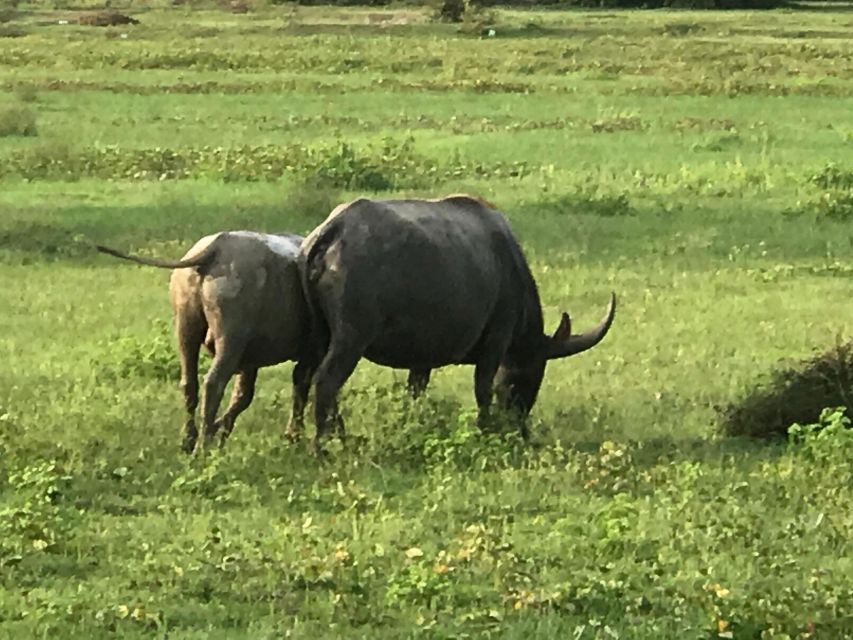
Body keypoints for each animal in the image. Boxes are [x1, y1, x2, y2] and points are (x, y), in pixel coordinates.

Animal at [302, 195, 616, 456]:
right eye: (529, 376)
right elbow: (483, 388)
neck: (508, 266)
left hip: (323, 336)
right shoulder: (497, 340)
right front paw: (484, 429)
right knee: (327, 381)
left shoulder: (422, 358)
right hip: (351, 338)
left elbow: (415, 391)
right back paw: (322, 446)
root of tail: (334, 229)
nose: (520, 428)